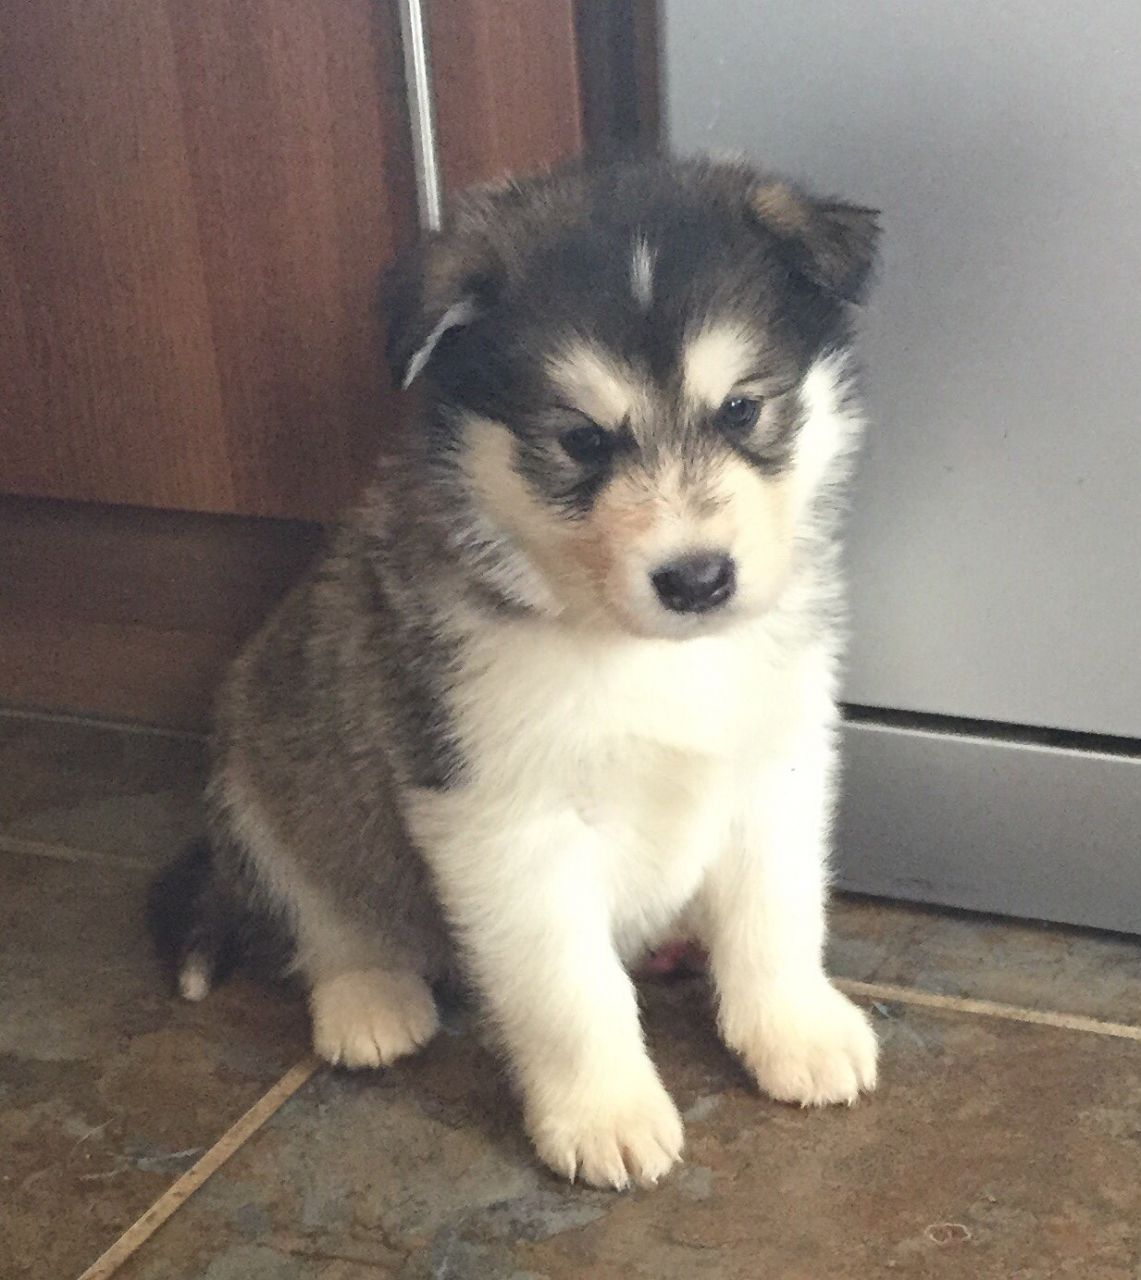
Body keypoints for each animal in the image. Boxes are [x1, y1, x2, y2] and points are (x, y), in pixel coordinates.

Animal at [151, 157, 881, 1187]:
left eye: (742, 408)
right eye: (581, 440)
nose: (697, 580)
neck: (640, 653)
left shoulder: (778, 758)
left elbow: (776, 911)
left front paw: (796, 1029)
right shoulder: (495, 814)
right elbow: (568, 989)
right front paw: (604, 1111)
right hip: (266, 762)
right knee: (321, 906)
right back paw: (367, 997)